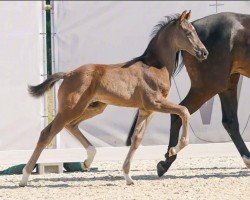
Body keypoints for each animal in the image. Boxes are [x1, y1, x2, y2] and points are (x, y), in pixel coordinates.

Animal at [19, 10, 207, 186]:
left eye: (195, 31)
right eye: (188, 32)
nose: (204, 53)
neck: (154, 66)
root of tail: (68, 74)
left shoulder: (146, 109)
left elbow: (136, 139)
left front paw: (128, 177)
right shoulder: (155, 103)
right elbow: (184, 111)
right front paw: (174, 149)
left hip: (94, 107)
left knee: (71, 125)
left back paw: (88, 160)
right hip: (72, 108)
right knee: (47, 133)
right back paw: (24, 177)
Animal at [126, 11, 250, 176]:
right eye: (188, 33)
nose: (203, 52)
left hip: (227, 84)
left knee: (229, 122)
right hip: (209, 86)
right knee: (179, 113)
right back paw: (167, 161)